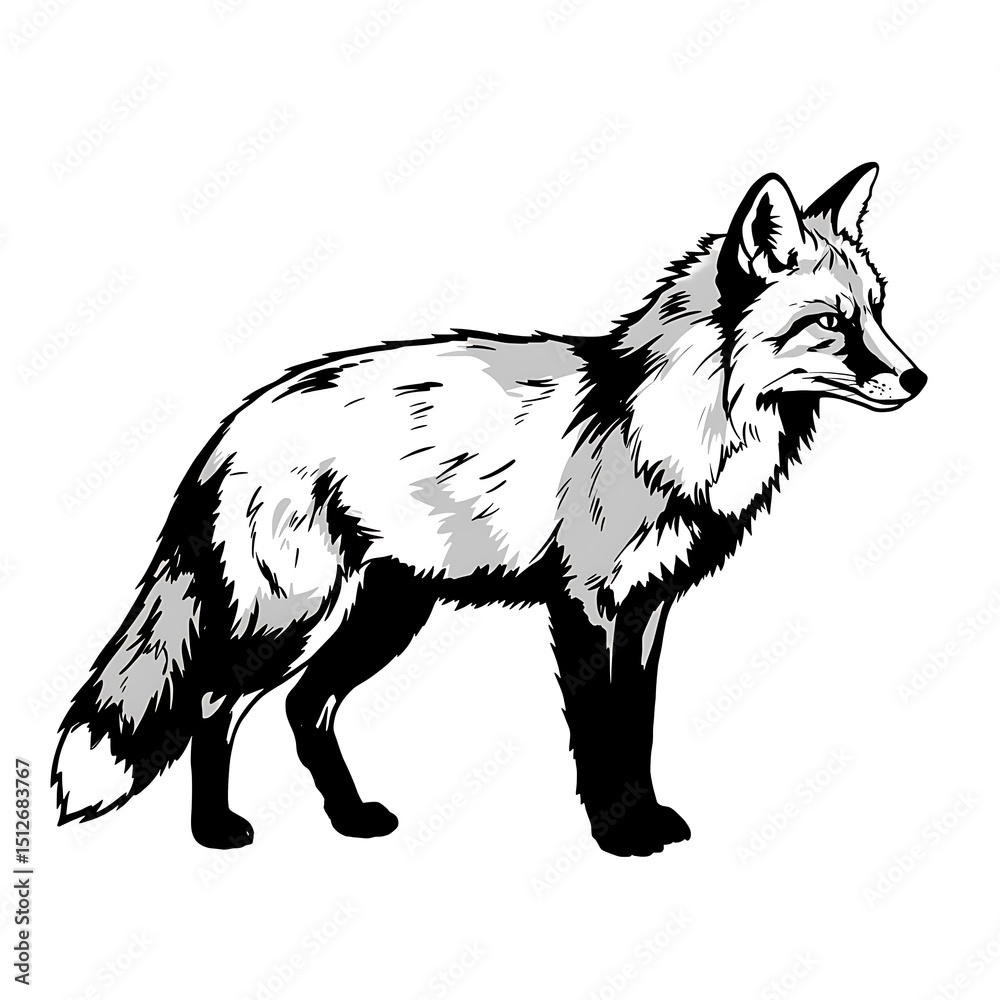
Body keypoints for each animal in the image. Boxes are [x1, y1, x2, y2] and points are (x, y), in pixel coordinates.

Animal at [52, 163, 926, 856]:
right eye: (831, 322)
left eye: (879, 310)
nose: (917, 378)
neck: (673, 425)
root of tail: (237, 420)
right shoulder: (586, 606)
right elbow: (601, 738)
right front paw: (620, 835)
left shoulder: (647, 610)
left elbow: (637, 730)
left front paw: (646, 817)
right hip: (289, 617)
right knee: (213, 706)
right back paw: (215, 831)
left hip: (386, 614)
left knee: (305, 708)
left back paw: (350, 818)